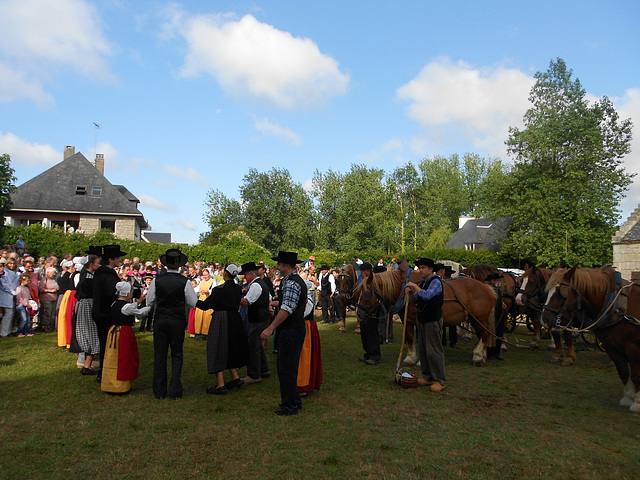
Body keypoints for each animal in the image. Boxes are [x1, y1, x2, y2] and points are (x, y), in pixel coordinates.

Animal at [352, 264, 498, 366]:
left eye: (366, 293)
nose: (358, 314)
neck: (407, 292)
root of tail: (487, 287)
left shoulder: (420, 320)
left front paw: (421, 361)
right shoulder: (407, 319)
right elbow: (410, 338)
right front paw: (410, 358)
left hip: (479, 318)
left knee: (485, 334)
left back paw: (478, 357)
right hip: (474, 319)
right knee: (483, 334)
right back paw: (482, 355)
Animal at [540, 266, 640, 412]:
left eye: (560, 292)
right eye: (547, 291)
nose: (545, 320)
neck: (619, 308)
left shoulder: (633, 347)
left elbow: (636, 374)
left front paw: (636, 404)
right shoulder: (612, 348)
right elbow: (623, 372)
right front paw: (626, 399)